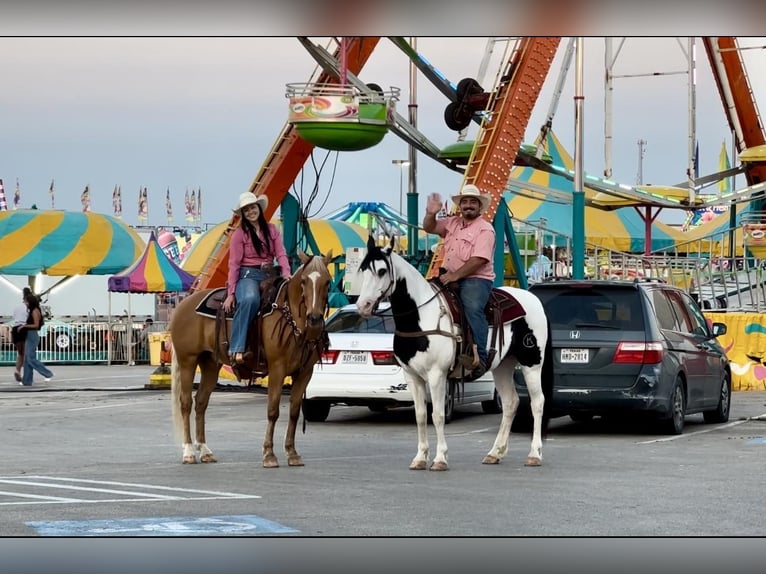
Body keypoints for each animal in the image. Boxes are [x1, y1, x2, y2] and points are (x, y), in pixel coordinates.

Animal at [171, 252, 332, 468]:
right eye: (304, 281)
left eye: (327, 282)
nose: (314, 319)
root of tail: (184, 304)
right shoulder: (277, 368)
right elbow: (273, 410)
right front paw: (269, 454)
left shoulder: (305, 372)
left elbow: (294, 412)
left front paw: (292, 453)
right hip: (187, 361)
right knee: (186, 403)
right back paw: (188, 451)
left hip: (211, 364)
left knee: (201, 403)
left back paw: (205, 451)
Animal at [354, 237, 552, 472]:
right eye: (362, 269)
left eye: (382, 271)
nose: (363, 306)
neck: (421, 317)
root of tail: (533, 298)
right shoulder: (411, 376)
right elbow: (420, 415)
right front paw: (420, 458)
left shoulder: (437, 375)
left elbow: (437, 415)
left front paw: (440, 458)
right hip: (503, 366)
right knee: (511, 403)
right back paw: (495, 453)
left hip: (532, 363)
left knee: (537, 402)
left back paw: (534, 454)